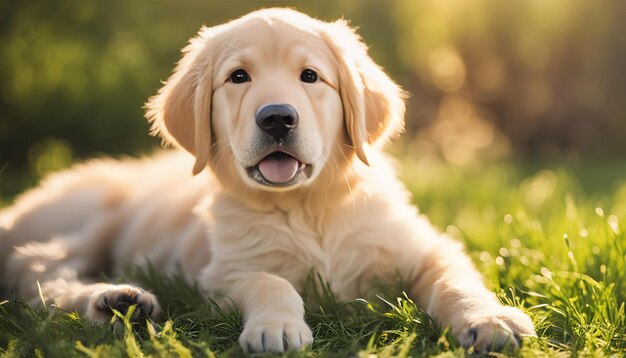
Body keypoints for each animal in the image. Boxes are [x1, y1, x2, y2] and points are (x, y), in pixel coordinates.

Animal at [1, 7, 532, 352]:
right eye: (239, 77)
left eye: (310, 76)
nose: (277, 117)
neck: (308, 207)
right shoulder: (221, 276)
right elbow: (269, 279)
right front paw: (277, 326)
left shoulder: (424, 247)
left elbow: (454, 279)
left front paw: (489, 319)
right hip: (92, 211)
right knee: (37, 270)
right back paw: (116, 301)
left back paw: (120, 304)